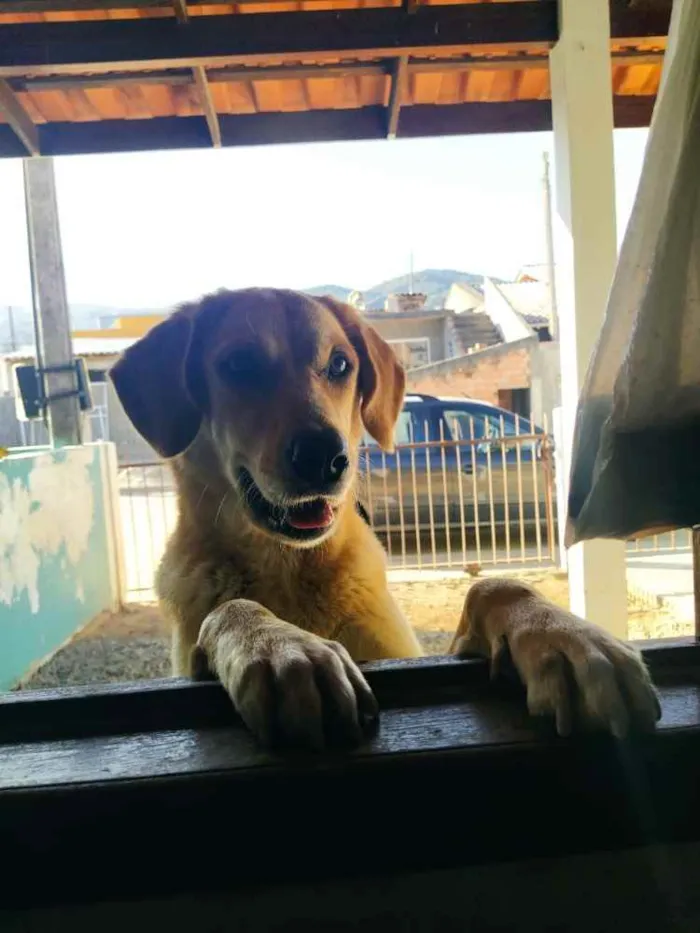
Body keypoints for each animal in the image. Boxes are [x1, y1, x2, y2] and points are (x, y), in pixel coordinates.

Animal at [110, 288, 660, 748]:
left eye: (339, 364)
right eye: (239, 364)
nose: (324, 456)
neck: (290, 568)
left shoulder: (415, 653)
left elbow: (491, 586)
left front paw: (562, 633)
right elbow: (232, 608)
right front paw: (282, 646)